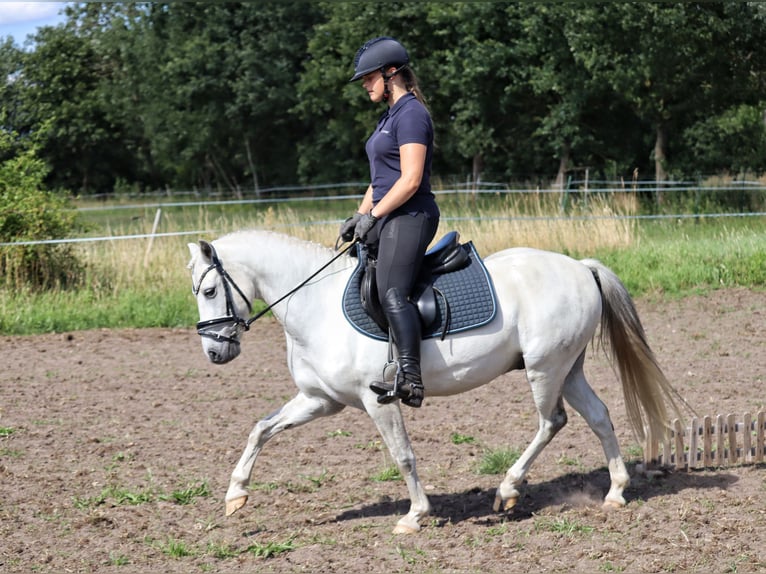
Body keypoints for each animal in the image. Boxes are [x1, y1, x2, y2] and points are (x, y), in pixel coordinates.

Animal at [189, 231, 680, 536]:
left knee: (552, 421)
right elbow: (261, 428)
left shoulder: (378, 401)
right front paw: (235, 496)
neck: (315, 303)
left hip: (545, 368)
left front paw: (414, 516)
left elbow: (403, 456)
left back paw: (507, 491)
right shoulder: (319, 400)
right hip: (567, 368)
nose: (215, 353)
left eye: (210, 291)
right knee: (598, 417)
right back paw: (615, 493)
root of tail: (579, 267)